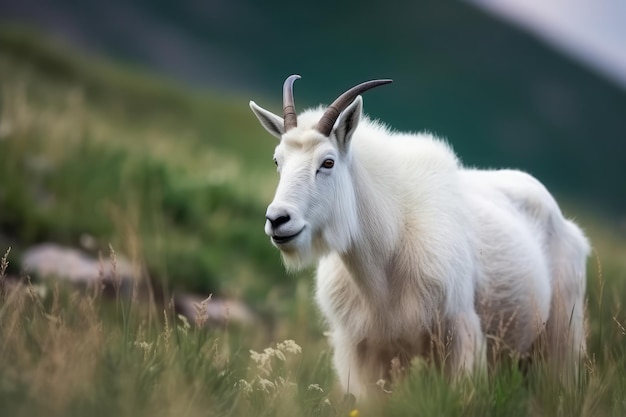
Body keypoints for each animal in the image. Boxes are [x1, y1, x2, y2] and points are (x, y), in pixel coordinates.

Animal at [247, 74, 584, 396]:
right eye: (278, 161)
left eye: (327, 162)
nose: (278, 219)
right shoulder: (362, 351)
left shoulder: (460, 333)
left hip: (561, 338)